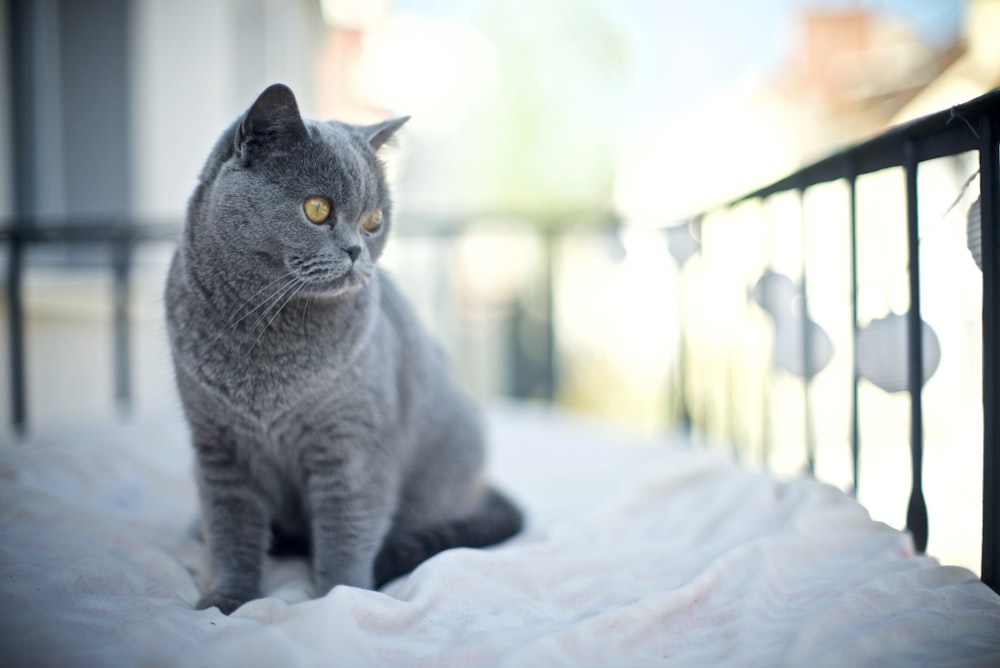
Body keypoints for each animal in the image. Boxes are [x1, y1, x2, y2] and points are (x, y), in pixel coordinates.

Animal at [164, 85, 524, 616]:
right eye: (317, 209)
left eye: (374, 221)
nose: (357, 250)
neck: (267, 337)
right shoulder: (218, 449)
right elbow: (232, 533)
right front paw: (226, 602)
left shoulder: (353, 446)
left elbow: (346, 531)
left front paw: (340, 598)